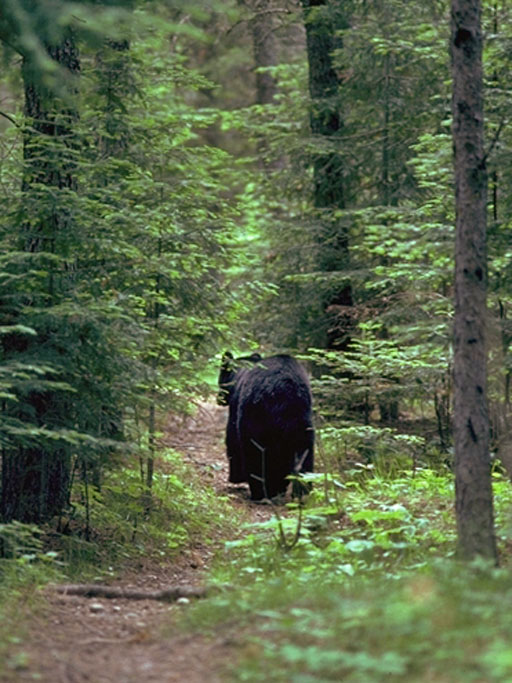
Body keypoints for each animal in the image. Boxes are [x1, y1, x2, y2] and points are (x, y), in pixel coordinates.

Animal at [217, 351, 314, 500]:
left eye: (220, 379)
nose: (218, 399)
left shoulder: (236, 406)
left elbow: (232, 439)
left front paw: (235, 476)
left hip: (255, 419)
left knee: (255, 453)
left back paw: (261, 492)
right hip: (302, 422)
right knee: (304, 455)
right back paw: (300, 493)